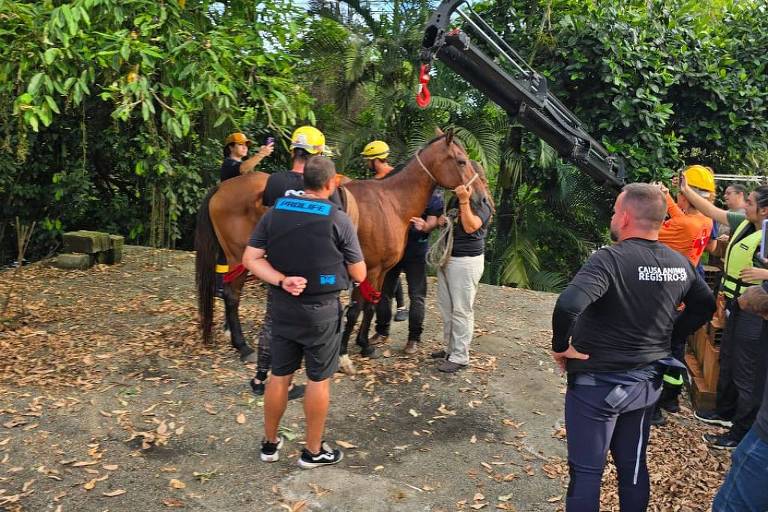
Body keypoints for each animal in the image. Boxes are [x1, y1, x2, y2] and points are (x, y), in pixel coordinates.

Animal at [195, 130, 476, 370]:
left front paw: (364, 344)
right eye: (462, 161)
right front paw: (343, 354)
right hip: (239, 257)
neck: (390, 203)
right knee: (231, 294)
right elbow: (356, 310)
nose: (477, 196)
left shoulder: (378, 270)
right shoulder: (370, 269)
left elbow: (370, 305)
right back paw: (242, 346)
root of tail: (222, 187)